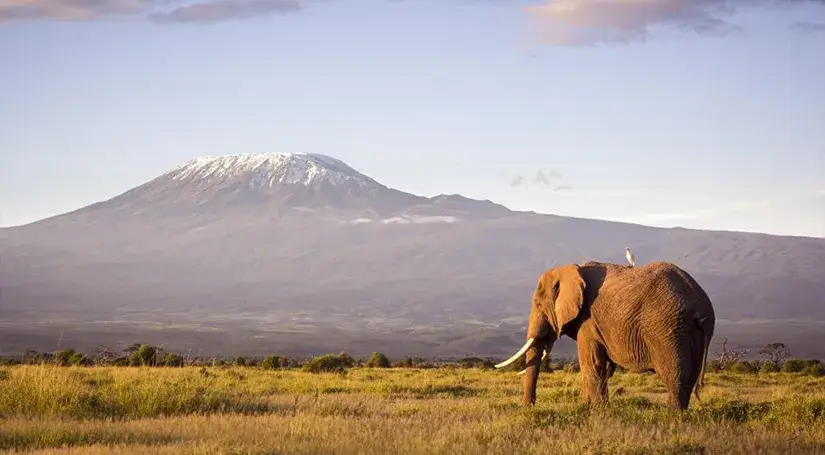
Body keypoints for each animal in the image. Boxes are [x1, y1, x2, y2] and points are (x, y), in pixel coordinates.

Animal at [496, 262, 716, 412]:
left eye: (538, 305)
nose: (530, 407)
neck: (571, 269)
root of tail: (702, 306)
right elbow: (603, 368)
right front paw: (585, 407)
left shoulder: (588, 322)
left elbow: (592, 364)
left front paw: (597, 411)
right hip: (689, 332)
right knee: (689, 376)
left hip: (668, 329)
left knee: (675, 375)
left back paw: (673, 417)